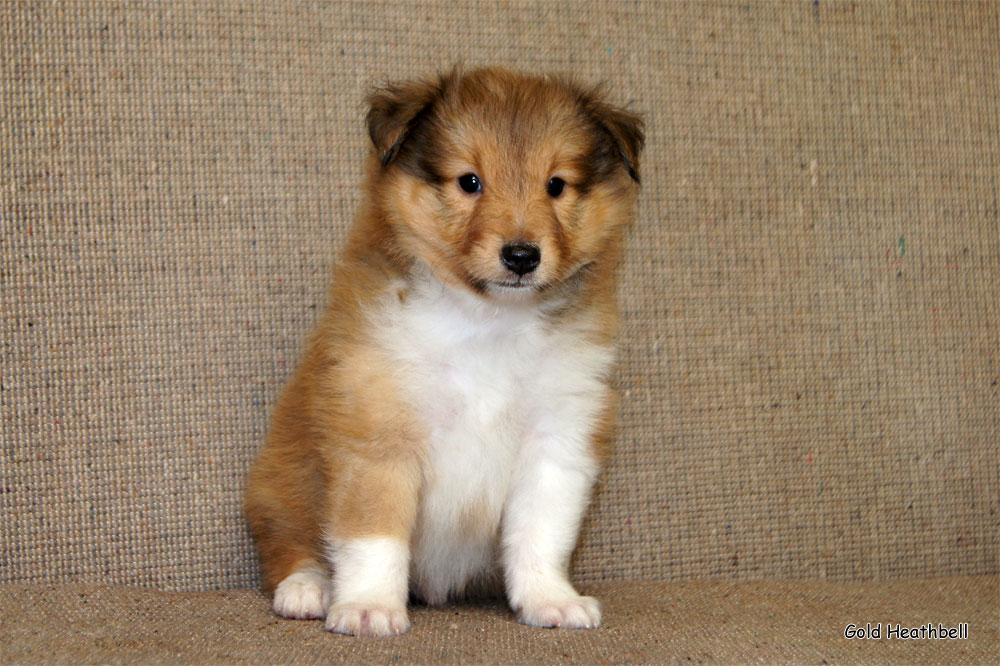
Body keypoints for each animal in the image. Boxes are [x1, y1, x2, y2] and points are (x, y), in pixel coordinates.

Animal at [246, 66, 644, 632]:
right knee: (289, 546)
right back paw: (307, 589)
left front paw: (550, 599)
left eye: (556, 184)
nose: (521, 256)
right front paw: (369, 606)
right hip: (279, 485)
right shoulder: (378, 434)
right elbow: (374, 536)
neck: (488, 322)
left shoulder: (557, 439)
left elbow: (540, 534)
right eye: (469, 181)